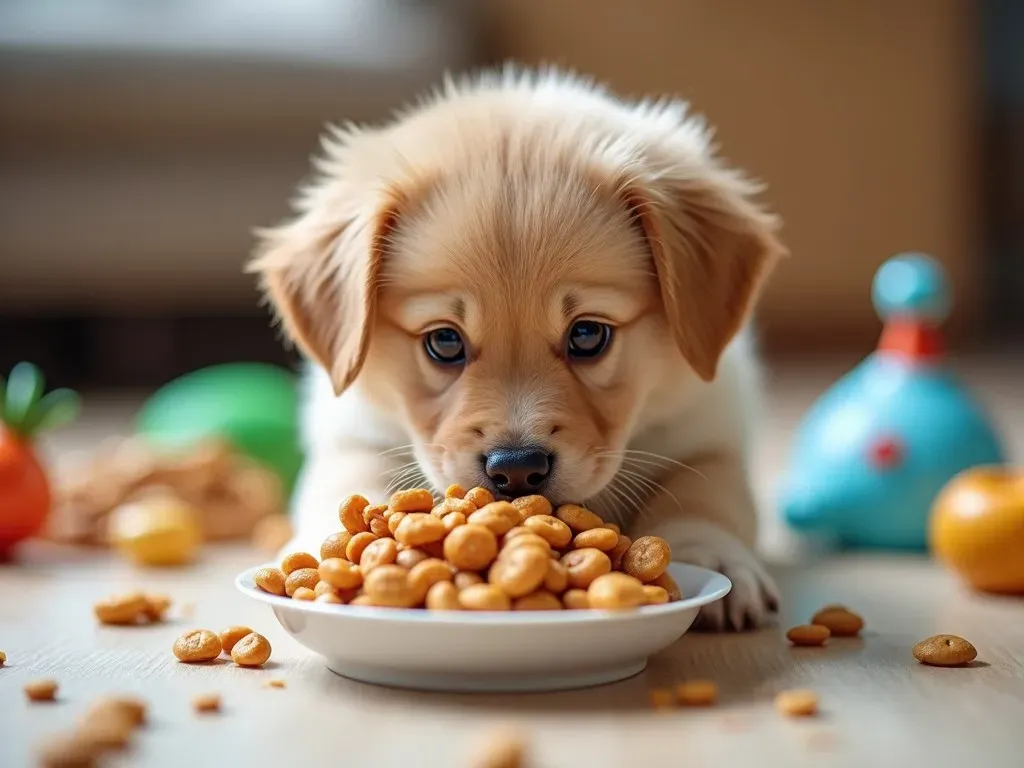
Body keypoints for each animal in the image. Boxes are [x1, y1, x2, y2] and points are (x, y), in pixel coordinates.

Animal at [251, 67, 786, 630]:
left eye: (587, 335)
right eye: (444, 341)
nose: (516, 469)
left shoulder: (710, 432)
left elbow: (701, 497)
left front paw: (715, 559)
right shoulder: (353, 435)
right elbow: (350, 483)